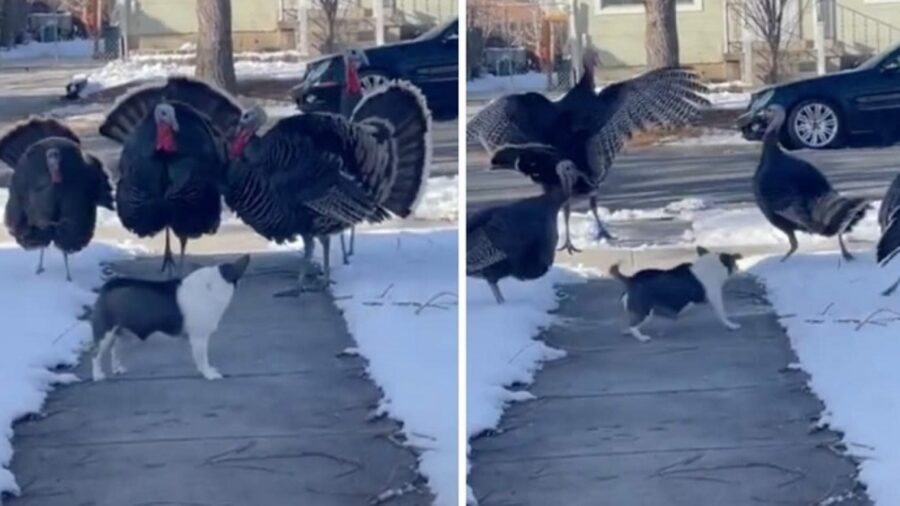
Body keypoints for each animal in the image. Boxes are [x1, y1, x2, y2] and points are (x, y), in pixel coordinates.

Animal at [90, 255, 250, 382]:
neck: (214, 283)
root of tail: (108, 286)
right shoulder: (199, 338)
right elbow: (202, 359)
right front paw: (209, 374)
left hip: (126, 333)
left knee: (115, 350)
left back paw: (118, 369)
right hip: (105, 333)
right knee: (96, 354)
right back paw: (98, 375)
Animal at [608, 247, 740, 342]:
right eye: (734, 262)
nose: (738, 267)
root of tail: (631, 279)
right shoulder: (715, 298)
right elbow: (722, 315)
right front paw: (731, 326)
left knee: (630, 322)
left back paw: (627, 331)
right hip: (645, 312)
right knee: (633, 326)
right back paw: (642, 338)